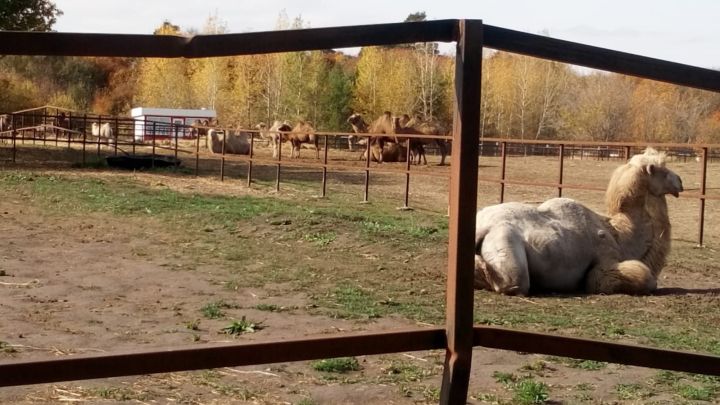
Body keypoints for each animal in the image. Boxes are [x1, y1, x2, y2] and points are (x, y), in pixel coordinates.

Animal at [476, 147, 684, 296]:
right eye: (663, 170)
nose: (680, 181)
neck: (620, 234)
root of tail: (481, 228)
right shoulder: (605, 262)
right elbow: (644, 278)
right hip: (505, 243)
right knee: (514, 284)